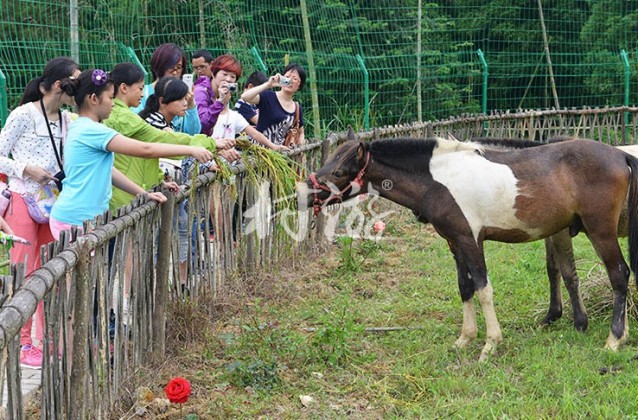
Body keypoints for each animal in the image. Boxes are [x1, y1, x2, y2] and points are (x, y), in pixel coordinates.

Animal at [304, 135, 638, 360]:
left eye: (339, 172)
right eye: (326, 163)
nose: (305, 193)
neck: (439, 179)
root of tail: (620, 156)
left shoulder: (471, 240)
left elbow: (483, 288)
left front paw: (490, 344)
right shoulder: (455, 242)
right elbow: (465, 287)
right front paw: (465, 338)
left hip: (600, 231)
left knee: (620, 275)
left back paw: (614, 339)